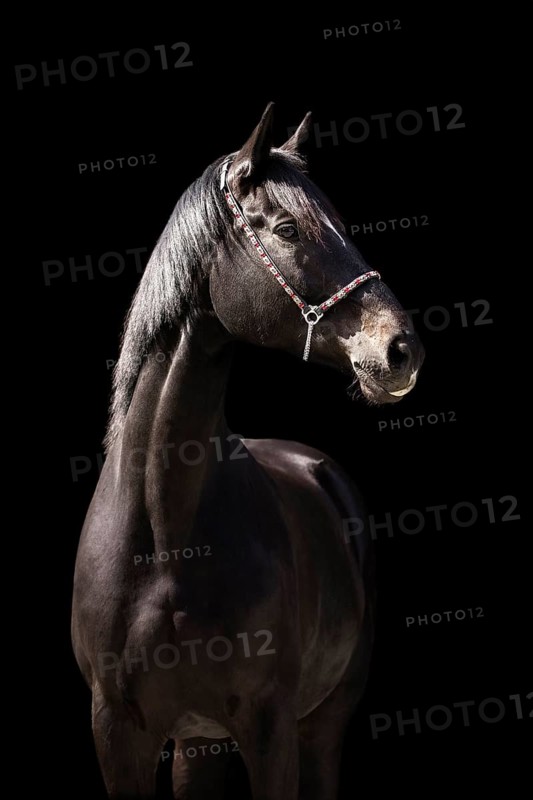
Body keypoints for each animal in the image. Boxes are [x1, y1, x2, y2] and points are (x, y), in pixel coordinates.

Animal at [71, 102, 424, 800]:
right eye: (287, 227)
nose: (401, 350)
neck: (164, 539)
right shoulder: (117, 733)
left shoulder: (270, 727)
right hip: (197, 745)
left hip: (321, 727)